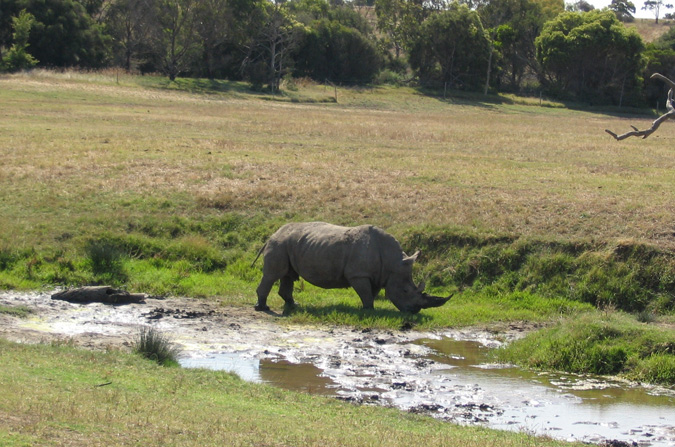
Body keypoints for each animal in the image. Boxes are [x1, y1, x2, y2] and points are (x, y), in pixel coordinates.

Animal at [251, 223, 452, 316]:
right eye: (405, 291)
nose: (414, 311)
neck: (393, 262)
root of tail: (272, 234)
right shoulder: (358, 274)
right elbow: (366, 293)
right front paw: (370, 311)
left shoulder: (376, 275)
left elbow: (371, 293)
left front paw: (367, 308)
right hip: (279, 244)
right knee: (272, 275)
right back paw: (263, 308)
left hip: (288, 244)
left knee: (288, 275)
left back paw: (294, 305)